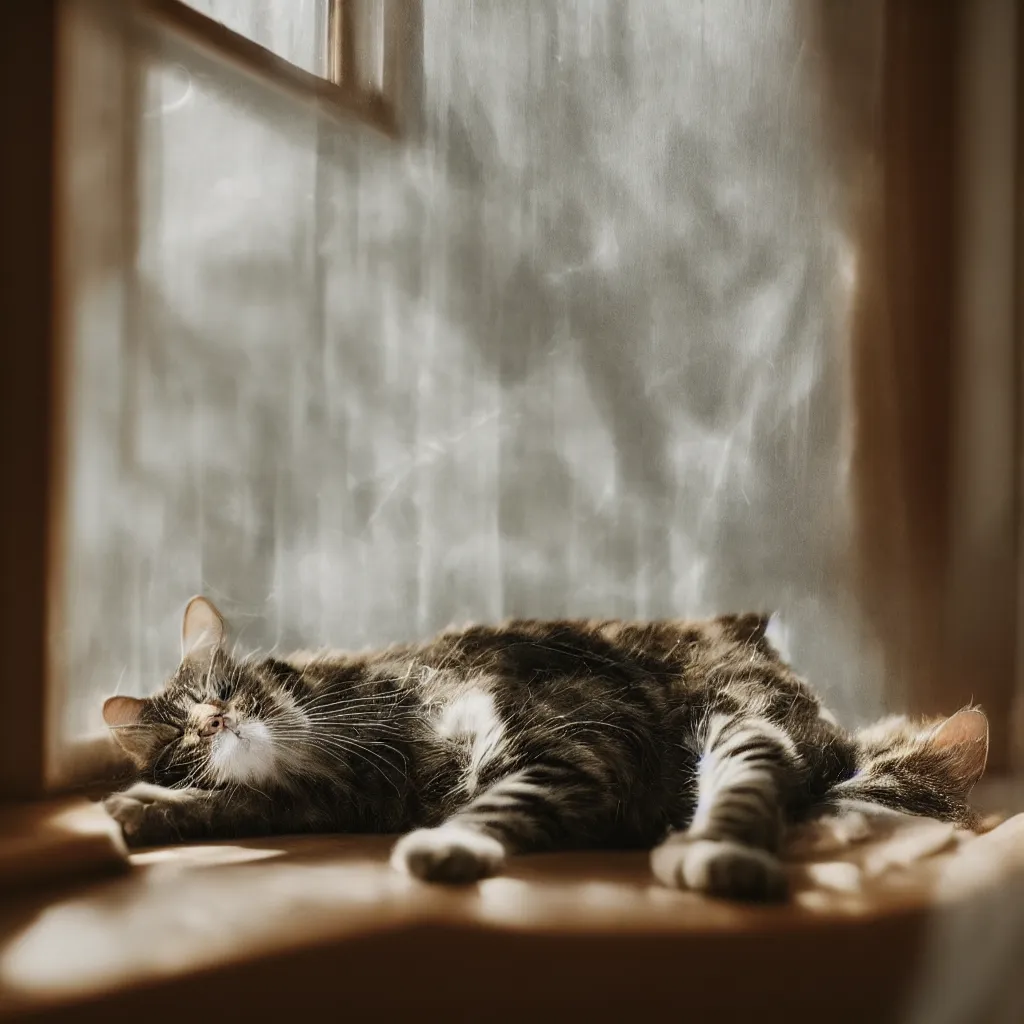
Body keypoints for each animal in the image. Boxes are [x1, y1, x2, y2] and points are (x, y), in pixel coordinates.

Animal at [99, 598, 987, 901]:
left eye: (224, 689)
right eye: (178, 733)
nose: (215, 722)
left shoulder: (575, 741)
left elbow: (501, 802)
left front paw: (449, 848)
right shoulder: (327, 797)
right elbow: (232, 803)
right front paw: (140, 807)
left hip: (742, 722)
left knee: (742, 787)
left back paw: (711, 854)